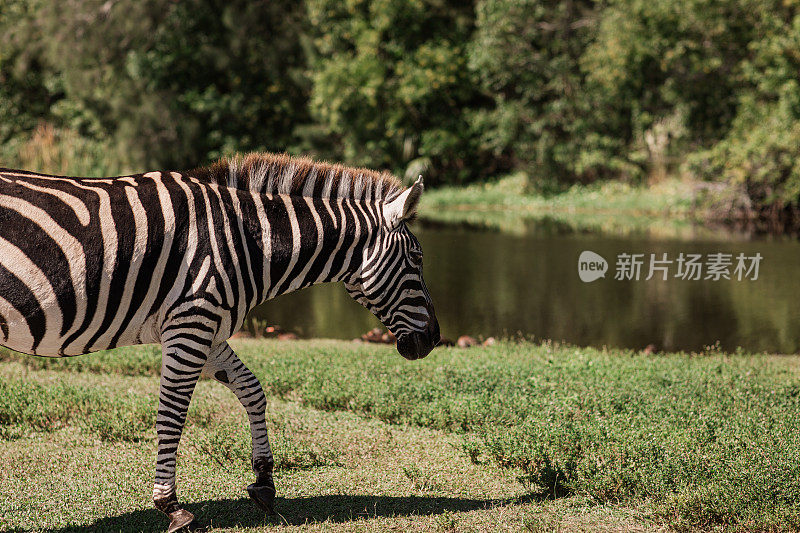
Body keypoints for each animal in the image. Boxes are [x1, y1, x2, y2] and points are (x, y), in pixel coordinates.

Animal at [0, 152, 438, 528]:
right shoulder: (192, 319)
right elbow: (172, 415)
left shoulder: (207, 328)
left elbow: (252, 390)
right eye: (417, 259)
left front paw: (264, 481)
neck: (246, 240)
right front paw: (171, 507)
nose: (434, 340)